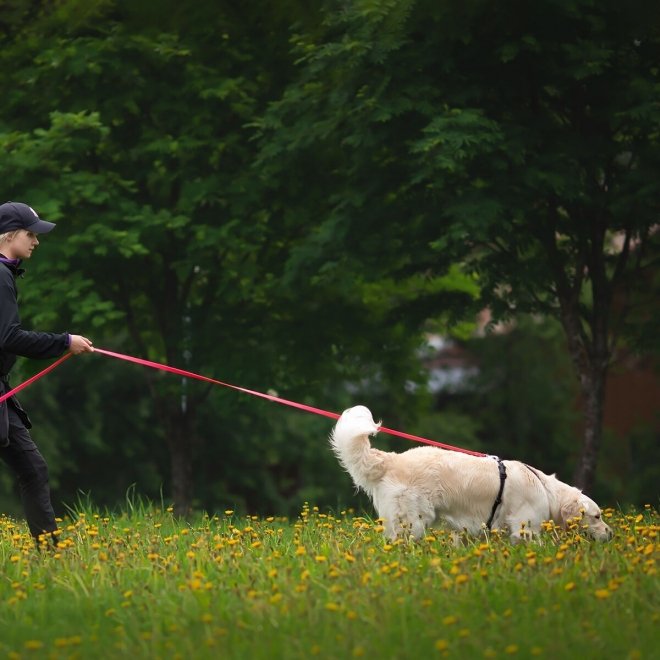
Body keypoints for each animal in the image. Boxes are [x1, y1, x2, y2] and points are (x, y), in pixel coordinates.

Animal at [330, 408, 612, 540]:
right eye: (597, 516)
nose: (611, 534)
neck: (546, 489)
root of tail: (392, 458)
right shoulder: (526, 526)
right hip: (413, 521)